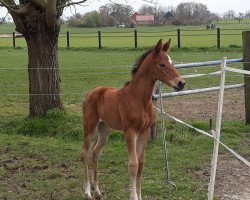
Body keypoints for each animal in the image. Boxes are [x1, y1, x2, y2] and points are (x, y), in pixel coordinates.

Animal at [81, 38, 185, 199]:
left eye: (172, 63)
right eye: (162, 64)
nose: (181, 83)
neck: (139, 100)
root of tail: (92, 93)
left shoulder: (144, 132)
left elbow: (141, 164)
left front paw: (140, 196)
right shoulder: (130, 132)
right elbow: (133, 165)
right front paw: (133, 196)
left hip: (105, 130)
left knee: (95, 152)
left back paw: (97, 190)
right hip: (90, 127)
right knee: (85, 154)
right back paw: (87, 191)